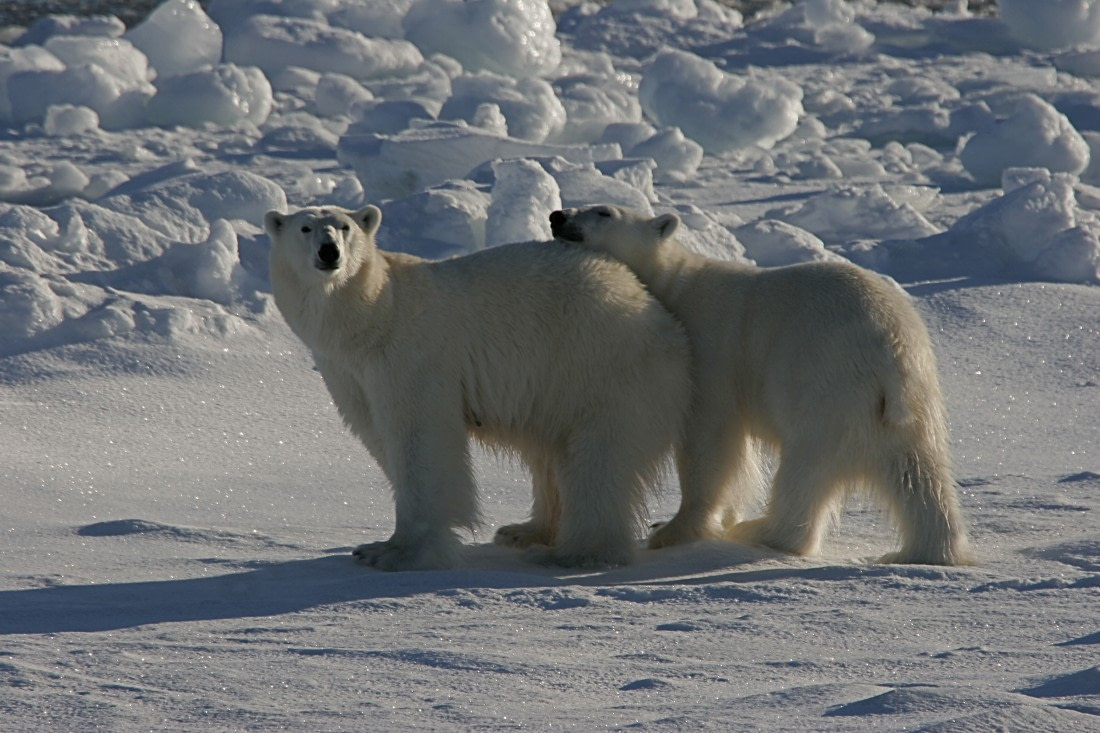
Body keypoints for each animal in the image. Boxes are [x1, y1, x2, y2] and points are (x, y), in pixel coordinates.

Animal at [264, 204, 692, 571]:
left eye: (345, 227)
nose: (329, 252)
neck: (374, 315)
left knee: (598, 460)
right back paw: (525, 531)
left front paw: (400, 553)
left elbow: (421, 436)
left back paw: (574, 553)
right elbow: (379, 435)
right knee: (550, 453)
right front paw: (379, 546)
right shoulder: (349, 373)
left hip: (601, 369)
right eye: (305, 228)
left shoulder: (413, 353)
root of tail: (659, 317)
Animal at [550, 203, 972, 566]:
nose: (557, 216)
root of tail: (892, 349)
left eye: (604, 211)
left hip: (827, 383)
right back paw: (928, 550)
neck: (675, 288)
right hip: (909, 406)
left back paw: (761, 531)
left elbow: (709, 440)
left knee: (806, 465)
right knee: (918, 474)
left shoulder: (710, 351)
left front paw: (670, 531)